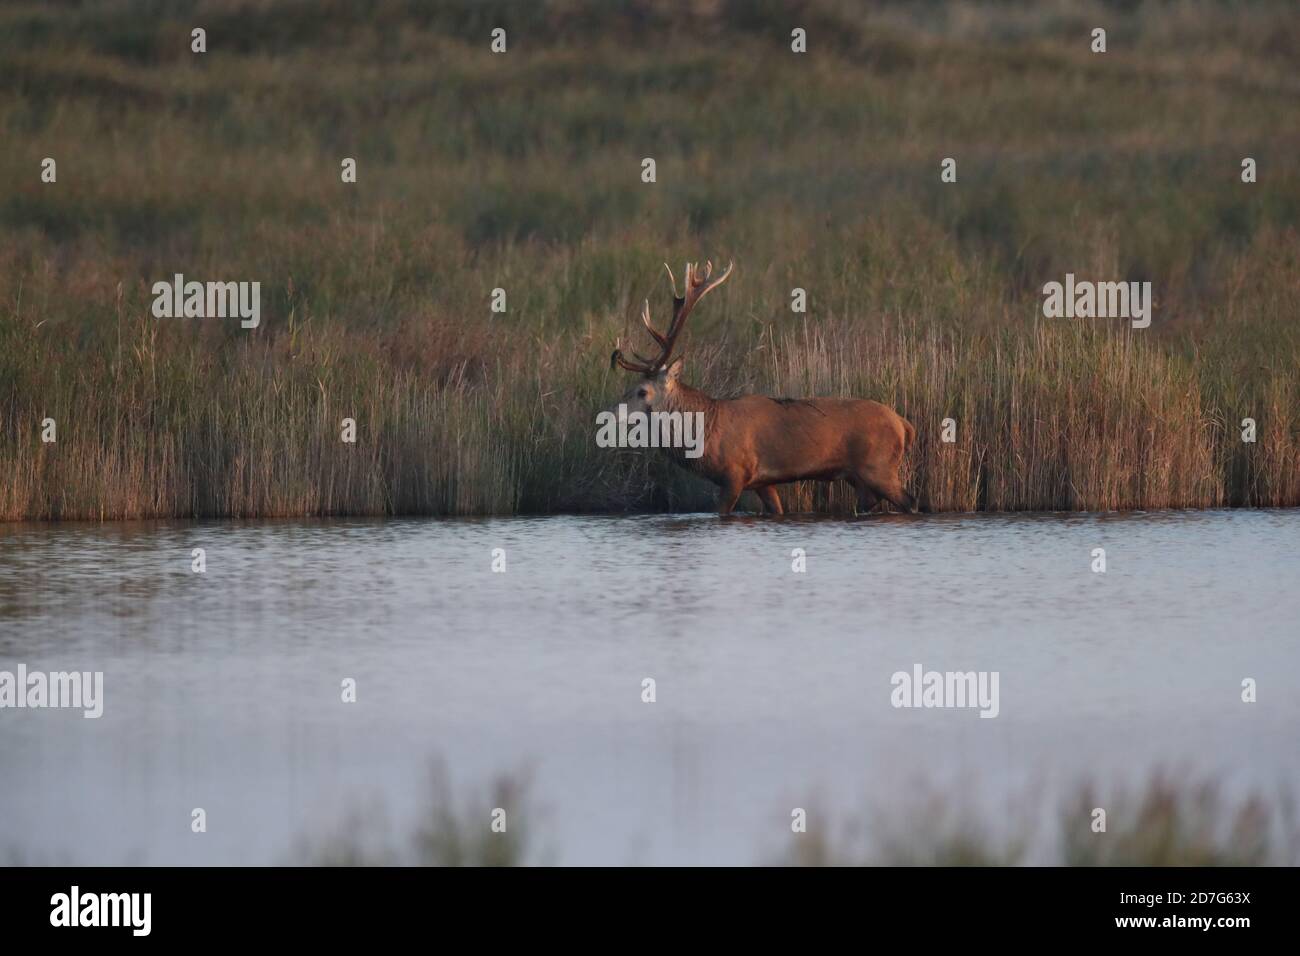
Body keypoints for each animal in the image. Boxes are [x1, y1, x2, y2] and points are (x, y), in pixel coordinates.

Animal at [605, 260, 915, 515]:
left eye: (642, 391)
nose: (611, 413)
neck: (705, 433)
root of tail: (904, 424)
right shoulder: (762, 482)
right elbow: (776, 510)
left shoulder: (734, 473)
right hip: (858, 476)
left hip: (879, 466)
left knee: (910, 501)